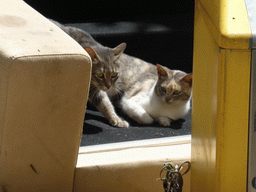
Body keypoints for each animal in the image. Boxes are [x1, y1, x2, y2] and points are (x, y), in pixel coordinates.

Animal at [51, 19, 192, 127]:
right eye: (100, 75)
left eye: (114, 75)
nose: (109, 86)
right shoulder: (124, 99)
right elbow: (143, 117)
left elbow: (106, 105)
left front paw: (116, 120)